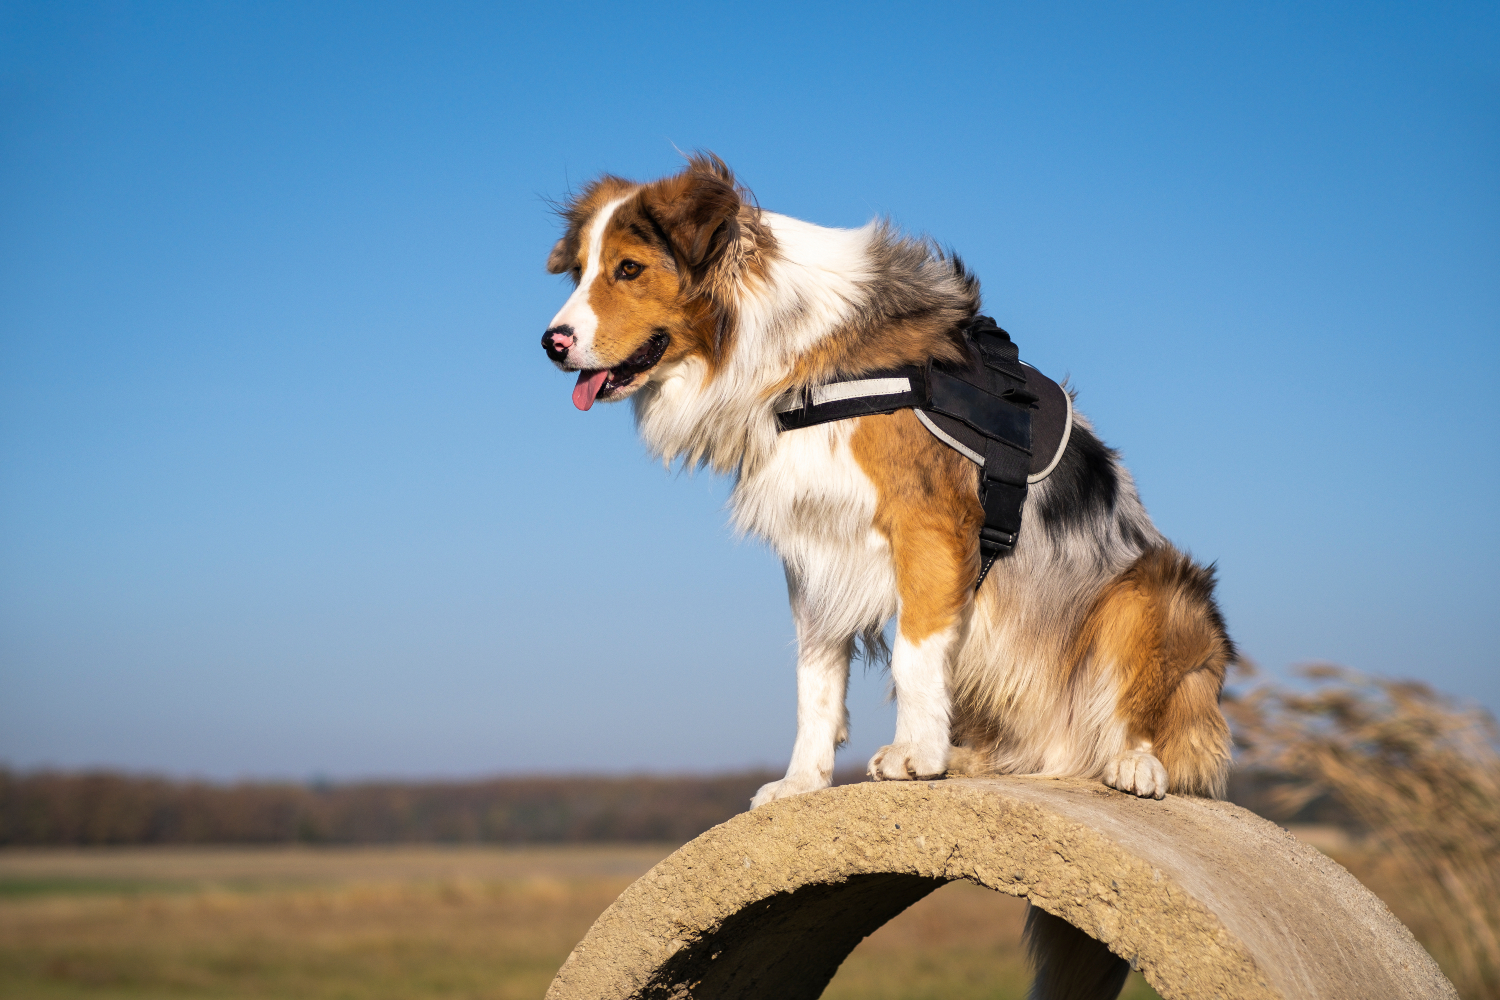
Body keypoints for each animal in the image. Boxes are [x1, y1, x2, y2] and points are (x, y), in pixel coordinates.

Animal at [540, 154, 1230, 815]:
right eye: (579, 271)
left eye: (629, 269)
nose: (551, 343)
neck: (795, 347)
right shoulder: (813, 542)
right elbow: (814, 679)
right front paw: (803, 781)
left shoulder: (928, 524)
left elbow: (914, 652)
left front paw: (916, 755)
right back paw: (972, 760)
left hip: (1156, 594)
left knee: (1151, 728)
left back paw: (1132, 764)